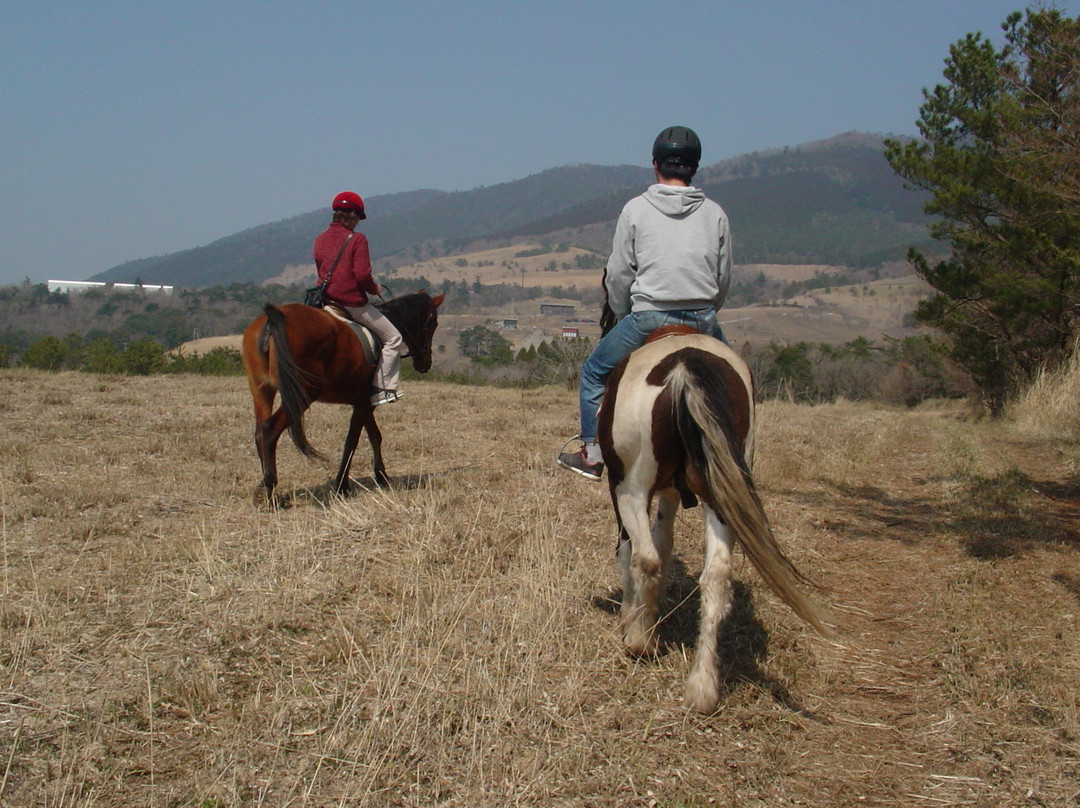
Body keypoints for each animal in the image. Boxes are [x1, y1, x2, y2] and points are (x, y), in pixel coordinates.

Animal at [244, 289, 442, 501]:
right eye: (433, 323)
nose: (425, 363)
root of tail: (273, 319)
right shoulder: (364, 404)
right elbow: (352, 441)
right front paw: (342, 485)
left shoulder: (363, 401)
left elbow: (374, 436)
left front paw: (381, 476)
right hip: (302, 395)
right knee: (269, 429)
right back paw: (269, 488)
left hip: (262, 390)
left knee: (259, 432)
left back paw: (264, 486)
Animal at [596, 328, 829, 712]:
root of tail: (685, 366)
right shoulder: (672, 493)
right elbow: (665, 539)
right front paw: (654, 607)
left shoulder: (621, 488)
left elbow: (631, 550)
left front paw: (633, 615)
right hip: (722, 491)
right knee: (717, 574)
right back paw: (702, 686)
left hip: (631, 487)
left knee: (645, 557)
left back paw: (642, 641)